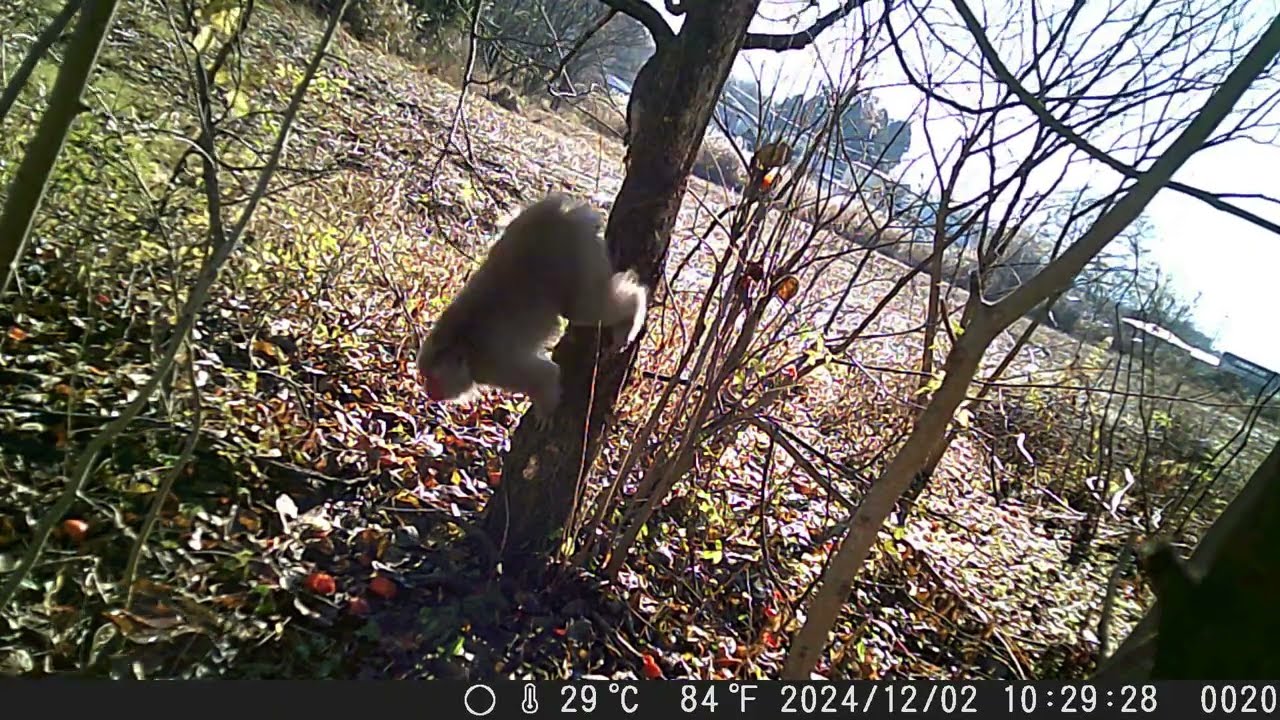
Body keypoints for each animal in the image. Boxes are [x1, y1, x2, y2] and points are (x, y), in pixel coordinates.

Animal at [416, 193, 648, 425]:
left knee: (585, 308)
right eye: (425, 378)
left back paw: (633, 312)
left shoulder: (490, 365)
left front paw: (545, 410)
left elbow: (546, 375)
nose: (428, 391)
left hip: (577, 255)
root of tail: (559, 210)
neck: (461, 346)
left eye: (431, 378)